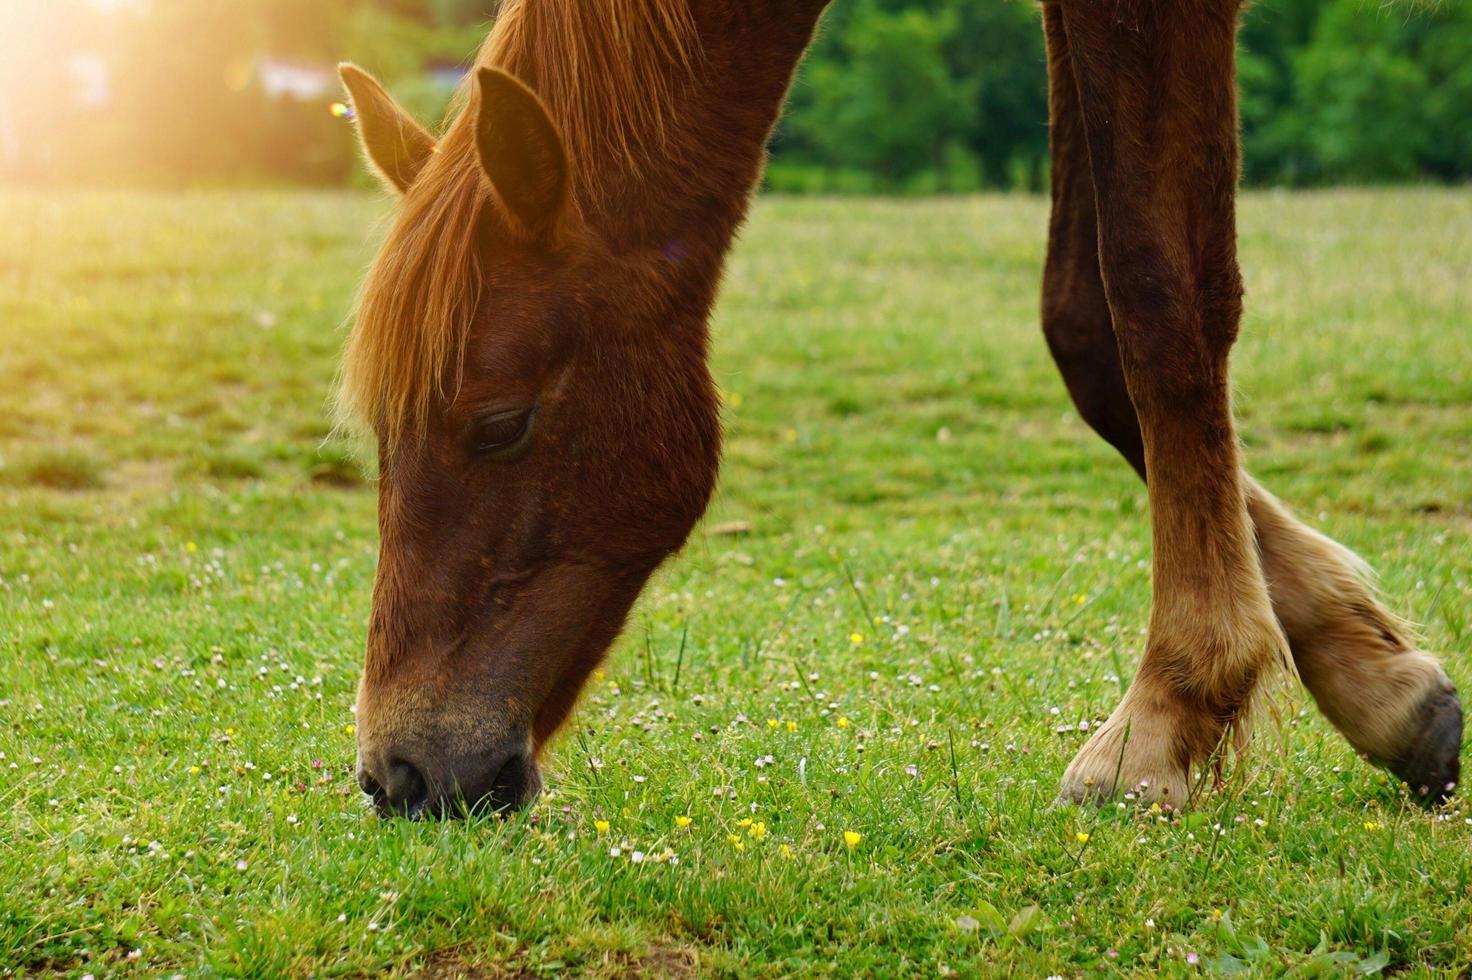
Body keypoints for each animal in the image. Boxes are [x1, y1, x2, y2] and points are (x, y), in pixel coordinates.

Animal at [341, 0, 1460, 818]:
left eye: (499, 422)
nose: (399, 772)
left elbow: (1158, 295)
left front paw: (1164, 714)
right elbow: (1086, 329)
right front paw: (1377, 679)